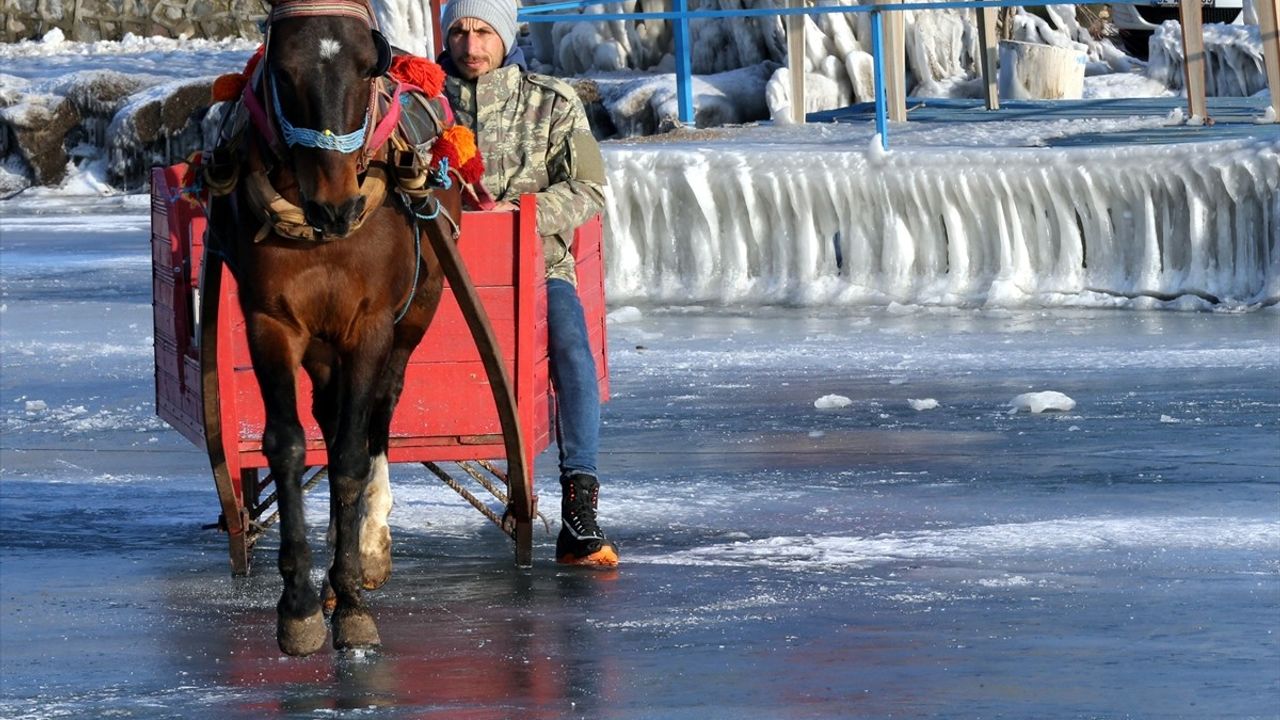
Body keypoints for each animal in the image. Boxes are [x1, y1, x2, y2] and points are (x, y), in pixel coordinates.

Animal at [202, 0, 458, 653]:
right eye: (283, 70)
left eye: (370, 65)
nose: (336, 204)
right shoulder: (270, 322)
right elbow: (289, 445)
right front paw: (297, 604)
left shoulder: (370, 326)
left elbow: (347, 457)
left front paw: (352, 597)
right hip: (321, 345)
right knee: (329, 409)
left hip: (417, 310)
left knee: (379, 411)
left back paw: (366, 544)